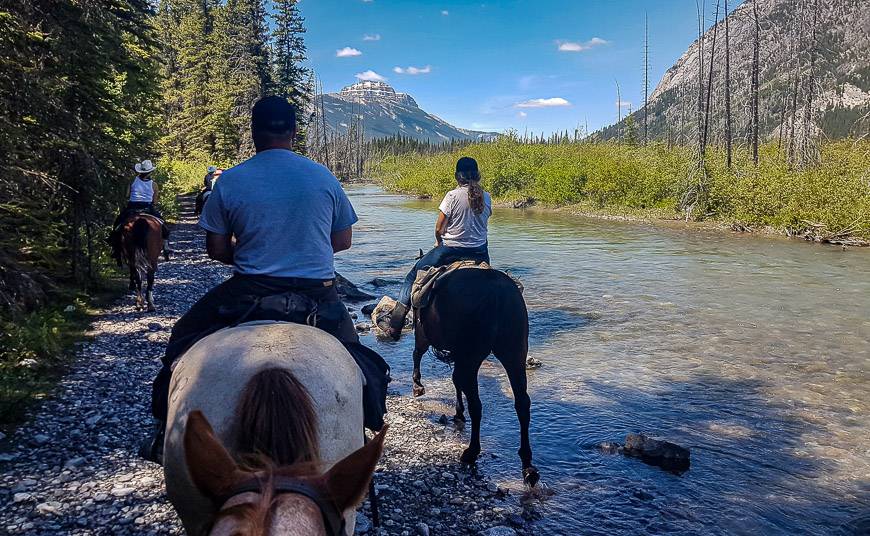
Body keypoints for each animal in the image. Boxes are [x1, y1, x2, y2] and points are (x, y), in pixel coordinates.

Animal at [412, 268, 540, 486]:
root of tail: (497, 292)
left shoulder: (424, 336)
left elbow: (418, 355)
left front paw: (417, 386)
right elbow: (455, 381)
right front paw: (458, 412)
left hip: (472, 357)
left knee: (477, 405)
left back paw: (471, 452)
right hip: (514, 352)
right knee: (522, 403)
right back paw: (527, 466)